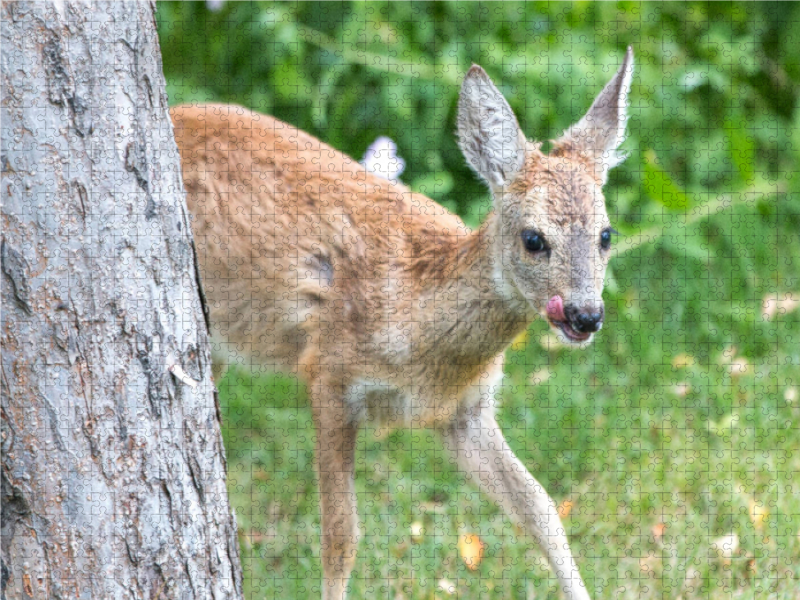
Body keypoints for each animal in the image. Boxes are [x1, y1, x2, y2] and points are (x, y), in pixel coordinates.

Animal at [172, 48, 636, 600]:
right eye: (533, 239)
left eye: (607, 234)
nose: (586, 315)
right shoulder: (329, 374)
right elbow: (341, 535)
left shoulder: (466, 412)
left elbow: (540, 508)